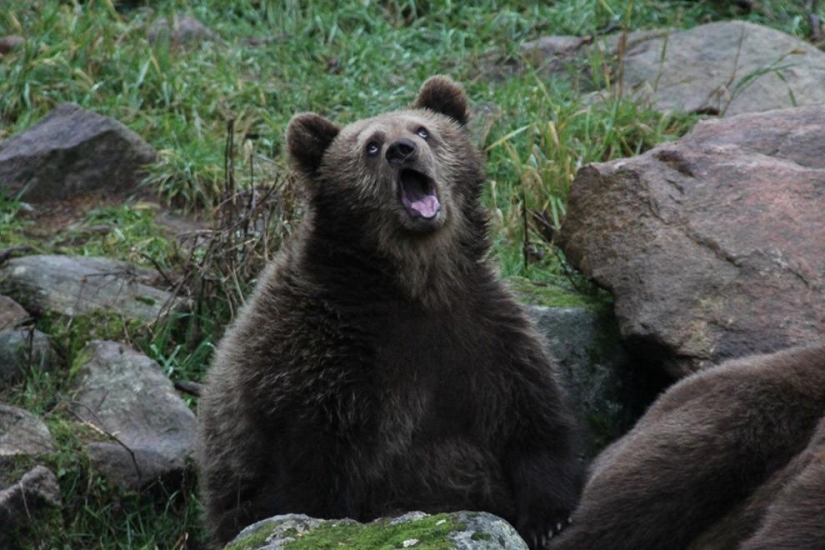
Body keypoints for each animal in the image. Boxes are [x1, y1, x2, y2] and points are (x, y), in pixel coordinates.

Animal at [195, 76, 580, 550]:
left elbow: (530, 418)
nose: (402, 149)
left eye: (423, 130)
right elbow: (310, 477)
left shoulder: (483, 333)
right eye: (371, 145)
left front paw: (548, 519)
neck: (413, 284)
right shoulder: (322, 361)